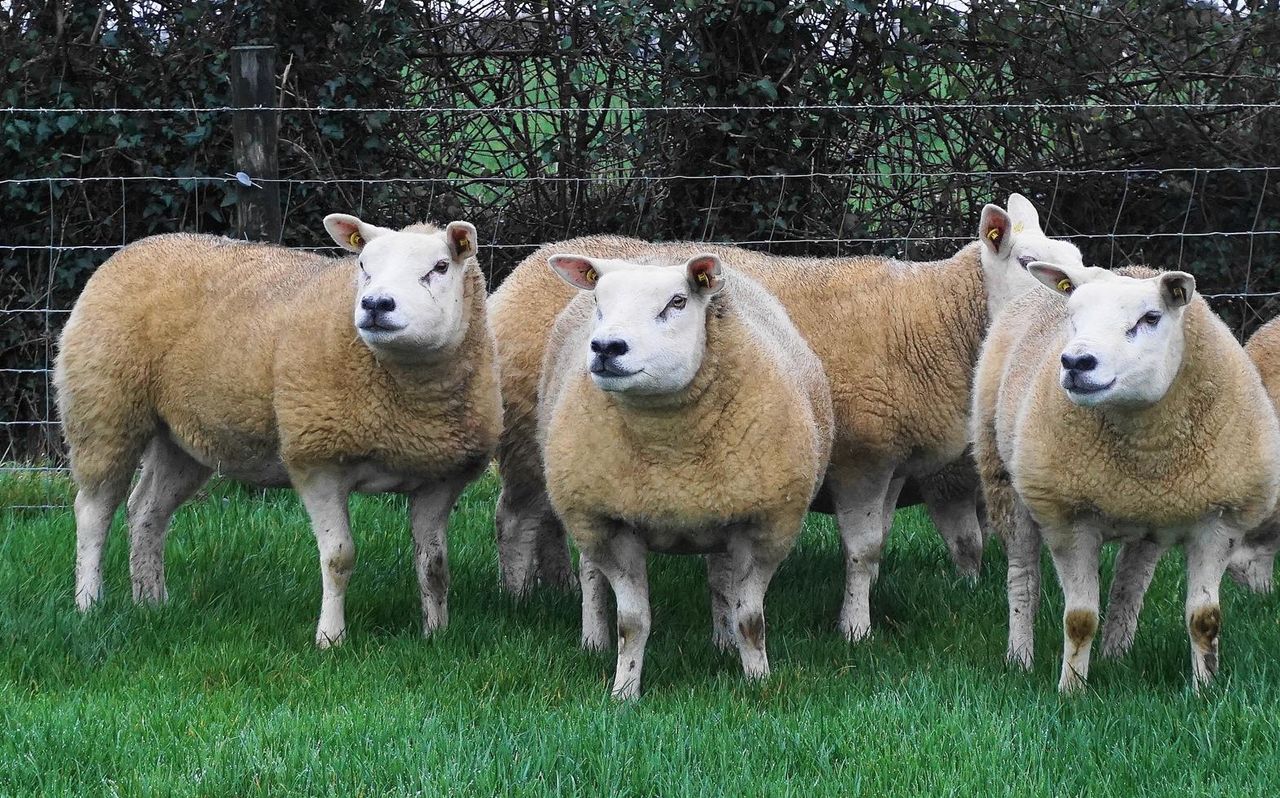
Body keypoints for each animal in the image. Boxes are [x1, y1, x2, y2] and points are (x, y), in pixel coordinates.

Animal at [54, 215, 502, 647]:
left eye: (440, 267)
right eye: (363, 266)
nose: (376, 304)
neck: (410, 405)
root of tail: (138, 247)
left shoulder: (440, 478)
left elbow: (435, 566)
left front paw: (436, 635)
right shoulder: (317, 460)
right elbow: (339, 558)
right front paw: (331, 639)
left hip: (183, 437)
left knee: (146, 510)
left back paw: (151, 602)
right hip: (104, 407)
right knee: (93, 511)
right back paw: (89, 604)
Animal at [489, 193, 1083, 642]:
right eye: (1031, 267)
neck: (941, 316)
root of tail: (524, 268)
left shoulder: (892, 459)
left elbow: (878, 545)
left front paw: (864, 605)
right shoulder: (862, 457)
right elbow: (864, 549)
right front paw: (855, 630)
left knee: (550, 520)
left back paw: (559, 586)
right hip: (531, 439)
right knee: (514, 518)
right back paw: (519, 599)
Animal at [538, 252, 833, 698]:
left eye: (677, 302)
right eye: (598, 302)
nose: (606, 347)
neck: (670, 452)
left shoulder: (766, 526)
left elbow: (750, 619)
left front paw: (758, 682)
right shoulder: (608, 524)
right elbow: (632, 623)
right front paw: (624, 693)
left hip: (721, 506)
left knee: (720, 578)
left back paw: (723, 642)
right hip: (583, 508)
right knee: (590, 574)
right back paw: (593, 641)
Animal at [971, 262, 1280, 690]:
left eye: (1150, 318)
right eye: (1072, 316)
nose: (1076, 363)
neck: (1147, 451)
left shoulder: (1218, 522)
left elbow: (1205, 620)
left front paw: (1205, 691)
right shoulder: (1070, 520)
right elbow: (1079, 619)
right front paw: (1071, 690)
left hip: (1149, 520)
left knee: (1130, 582)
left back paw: (1116, 656)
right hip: (1002, 477)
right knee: (1023, 577)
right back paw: (1020, 658)